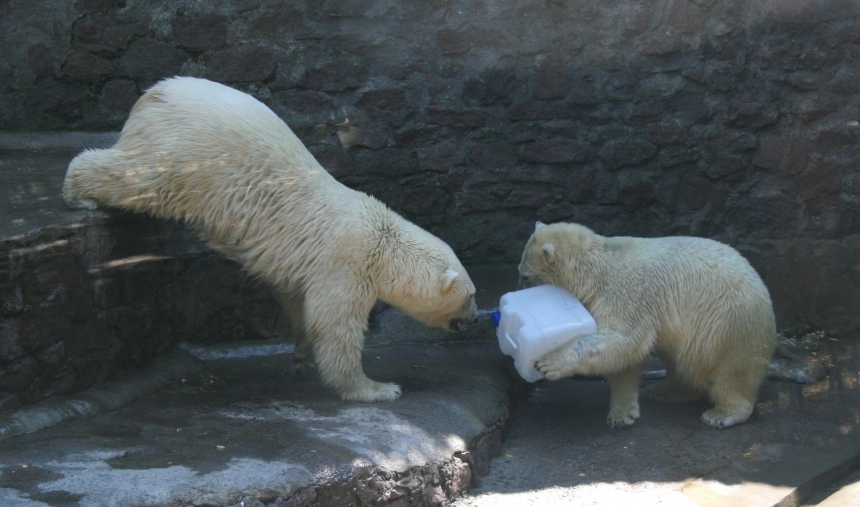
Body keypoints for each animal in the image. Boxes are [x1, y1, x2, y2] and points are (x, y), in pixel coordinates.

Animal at [62, 78, 478, 404]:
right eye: (471, 295)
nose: (475, 318)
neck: (382, 239)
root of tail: (157, 92)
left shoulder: (306, 270)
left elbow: (299, 305)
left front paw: (299, 354)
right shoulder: (345, 264)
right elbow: (336, 327)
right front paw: (377, 388)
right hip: (184, 152)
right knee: (140, 179)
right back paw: (77, 189)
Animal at [516, 222, 780, 428]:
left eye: (525, 276)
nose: (516, 288)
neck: (594, 268)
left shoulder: (625, 294)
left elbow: (622, 340)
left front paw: (549, 363)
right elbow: (624, 362)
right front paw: (622, 414)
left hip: (729, 325)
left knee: (730, 372)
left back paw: (720, 414)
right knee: (678, 360)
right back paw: (664, 390)